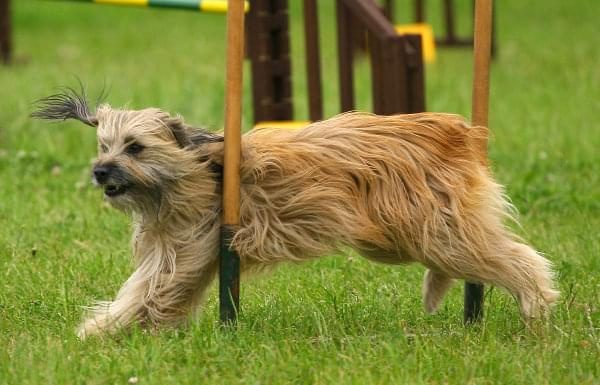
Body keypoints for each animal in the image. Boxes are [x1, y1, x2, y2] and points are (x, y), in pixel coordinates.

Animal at [31, 89, 556, 336]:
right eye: (103, 145)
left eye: (135, 147)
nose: (100, 171)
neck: (196, 171)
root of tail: (455, 130)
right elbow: (153, 292)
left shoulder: (188, 247)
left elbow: (149, 290)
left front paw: (99, 332)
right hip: (405, 234)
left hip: (436, 231)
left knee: (518, 260)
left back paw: (537, 307)